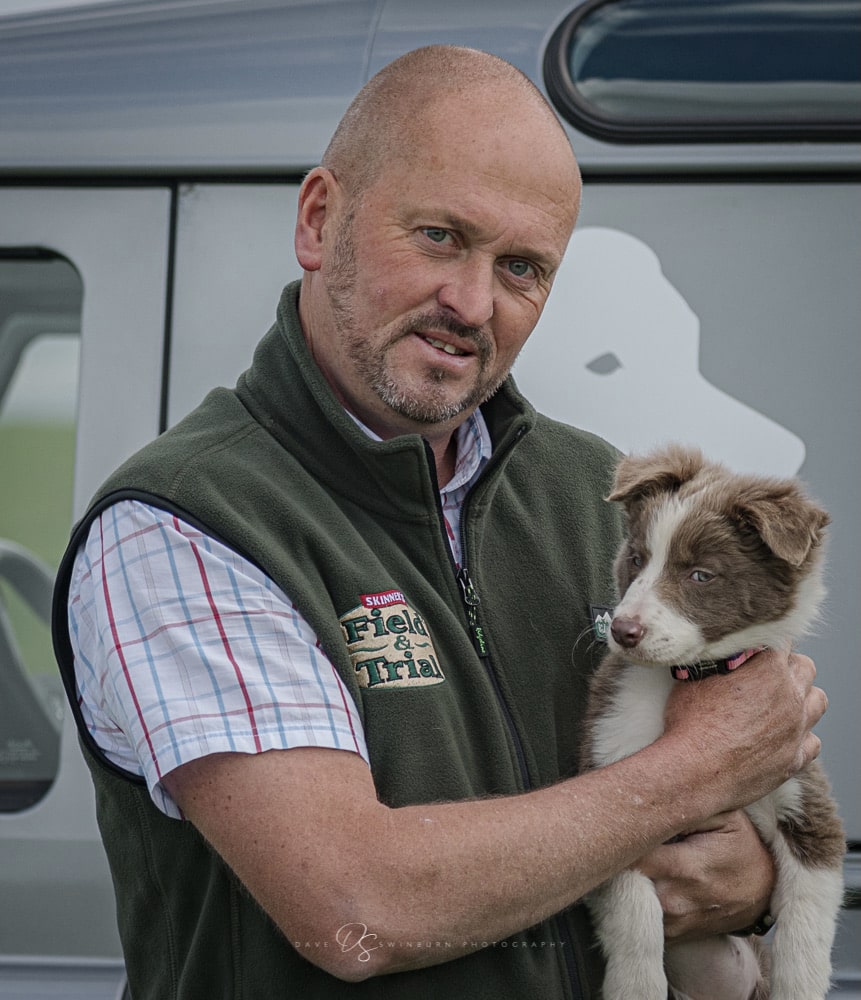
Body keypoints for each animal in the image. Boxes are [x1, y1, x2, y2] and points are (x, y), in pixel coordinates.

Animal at [580, 446, 844, 1000]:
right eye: (636, 559)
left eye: (701, 575)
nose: (623, 630)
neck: (692, 675)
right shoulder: (614, 784)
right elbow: (634, 914)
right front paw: (635, 986)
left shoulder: (805, 798)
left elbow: (807, 924)